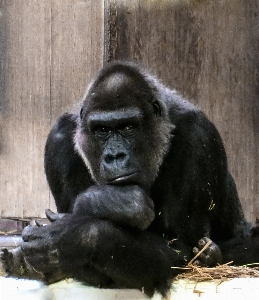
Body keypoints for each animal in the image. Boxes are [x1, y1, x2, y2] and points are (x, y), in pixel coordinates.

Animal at [1, 61, 258, 298]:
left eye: (128, 127)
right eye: (102, 130)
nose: (115, 156)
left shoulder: (200, 136)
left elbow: (179, 248)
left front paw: (75, 237)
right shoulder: (59, 138)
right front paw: (116, 203)